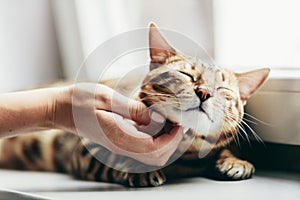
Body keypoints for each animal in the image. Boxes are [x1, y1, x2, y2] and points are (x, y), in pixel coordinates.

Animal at [0, 23, 270, 188]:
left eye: (223, 90)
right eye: (186, 75)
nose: (204, 92)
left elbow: (224, 148)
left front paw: (236, 161)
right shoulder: (83, 149)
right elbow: (115, 159)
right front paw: (139, 170)